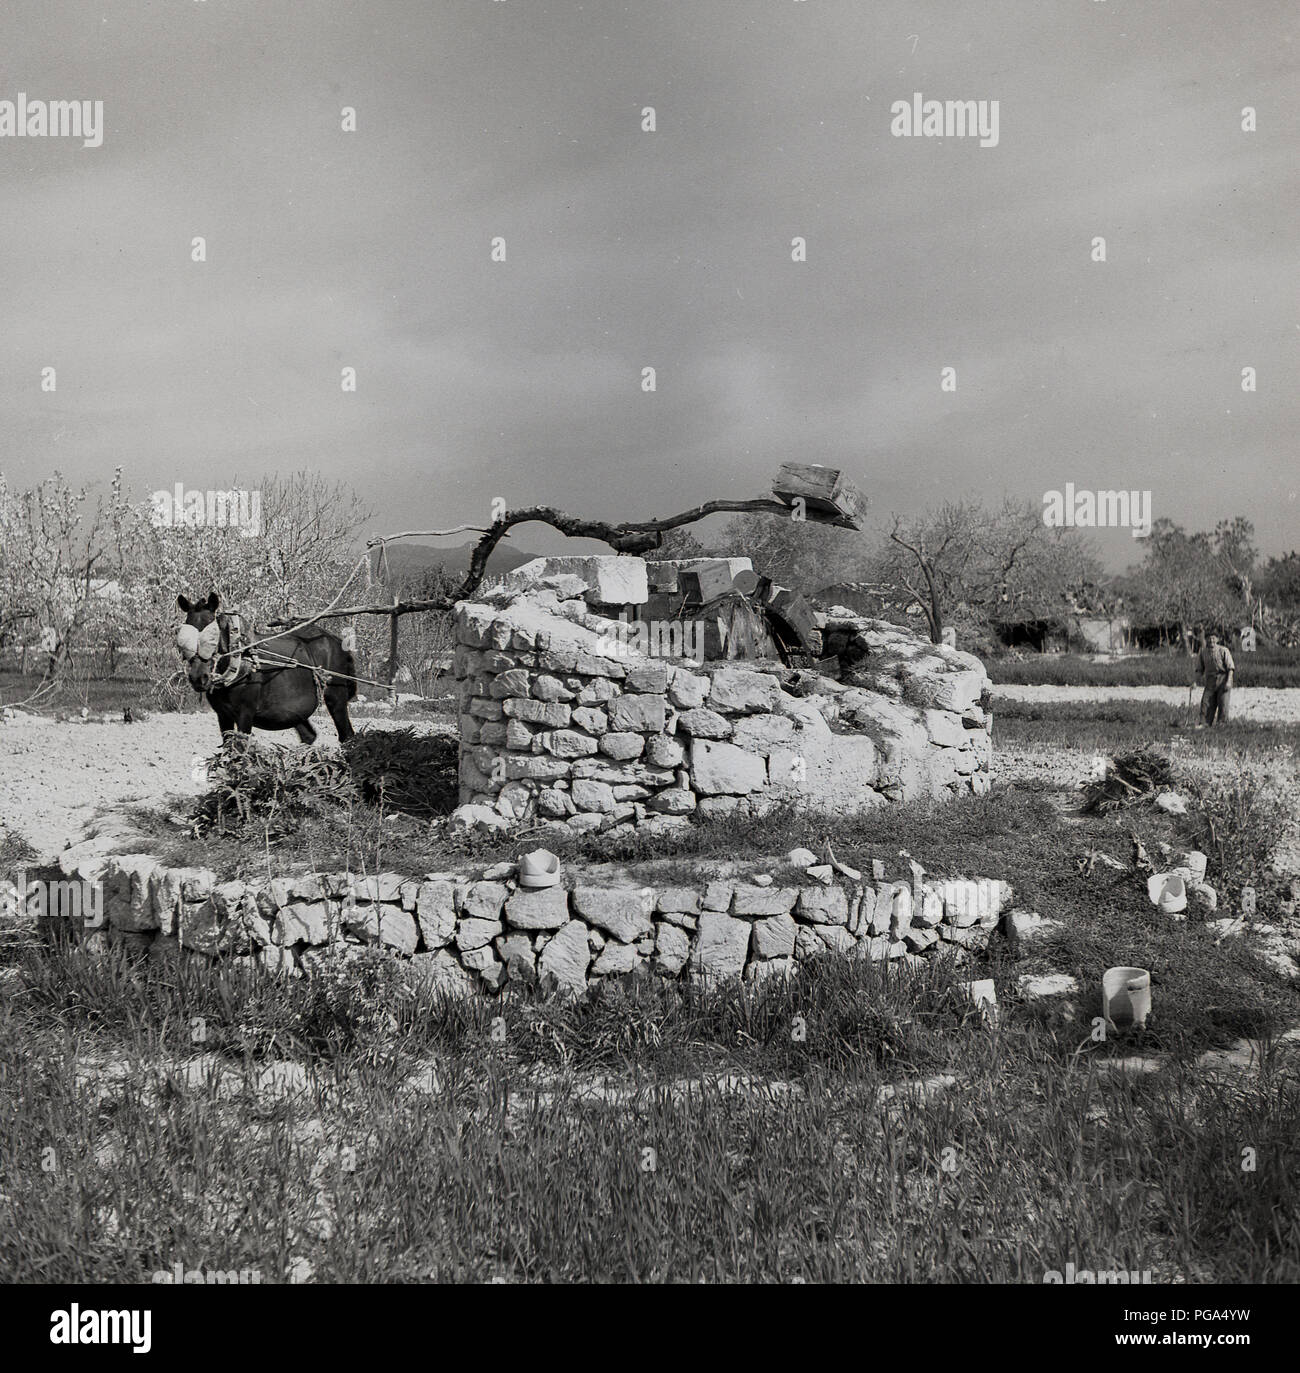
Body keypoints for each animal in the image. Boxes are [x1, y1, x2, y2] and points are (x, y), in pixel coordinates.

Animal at [175, 587, 356, 741]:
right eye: (183, 637)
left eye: (213, 636)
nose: (198, 678)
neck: (238, 663)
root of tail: (337, 641)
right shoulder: (223, 715)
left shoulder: (245, 713)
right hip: (294, 710)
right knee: (308, 735)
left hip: (336, 698)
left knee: (346, 735)